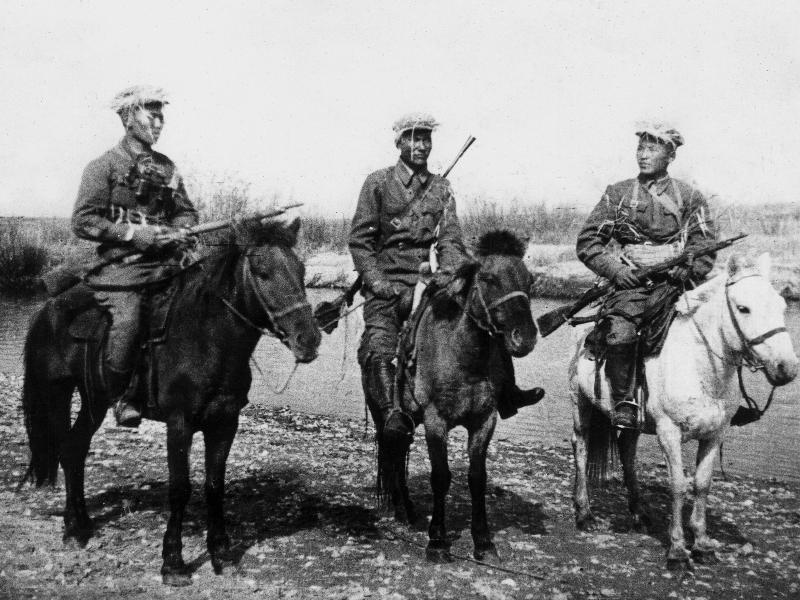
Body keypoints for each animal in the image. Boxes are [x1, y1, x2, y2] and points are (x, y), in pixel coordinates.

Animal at [19, 217, 318, 584]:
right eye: (262, 271)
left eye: (302, 270)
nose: (309, 339)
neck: (207, 339)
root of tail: (47, 309)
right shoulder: (180, 424)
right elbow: (180, 489)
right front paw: (173, 562)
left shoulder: (225, 423)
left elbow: (214, 486)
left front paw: (222, 554)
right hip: (56, 393)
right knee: (66, 448)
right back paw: (74, 529)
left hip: (94, 401)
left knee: (75, 449)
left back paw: (80, 525)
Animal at [382, 230, 536, 564]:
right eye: (489, 278)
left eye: (530, 280)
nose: (525, 338)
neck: (464, 357)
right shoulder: (435, 421)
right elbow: (440, 477)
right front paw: (437, 541)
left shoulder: (484, 421)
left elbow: (477, 478)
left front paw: (484, 541)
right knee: (395, 452)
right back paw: (403, 510)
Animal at [564, 251, 796, 568]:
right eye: (743, 308)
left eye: (781, 305)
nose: (787, 368)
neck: (700, 364)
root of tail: (587, 331)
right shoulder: (669, 433)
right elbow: (677, 485)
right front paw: (676, 548)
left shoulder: (714, 435)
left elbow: (702, 484)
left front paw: (702, 543)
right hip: (581, 404)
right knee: (581, 447)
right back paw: (584, 513)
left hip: (633, 421)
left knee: (627, 453)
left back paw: (639, 513)